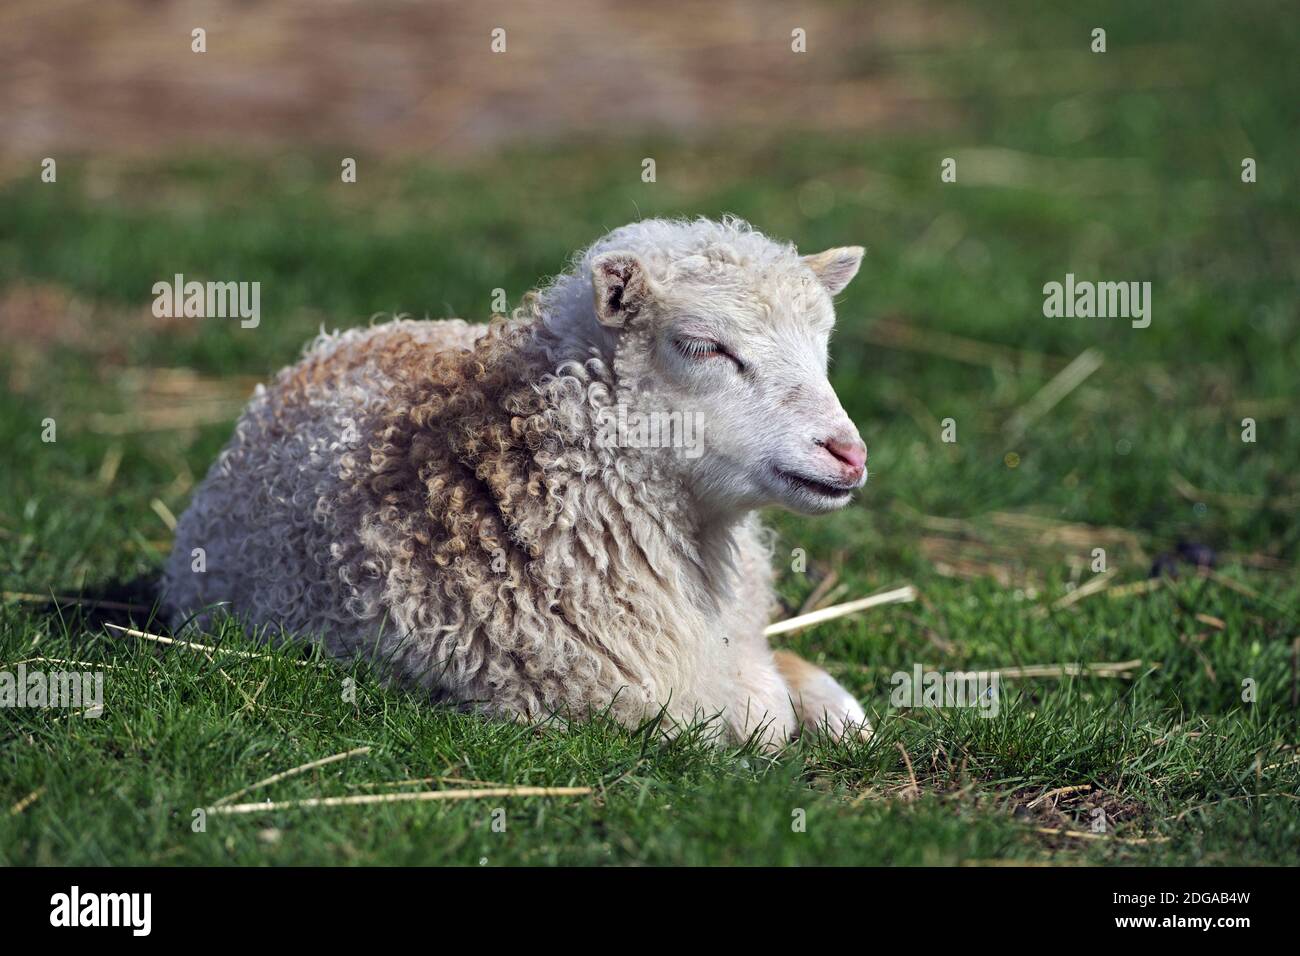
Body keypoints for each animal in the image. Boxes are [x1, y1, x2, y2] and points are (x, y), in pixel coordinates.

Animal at [162, 217, 873, 749]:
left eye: (823, 343)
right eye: (701, 346)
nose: (849, 454)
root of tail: (332, 347)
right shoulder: (623, 703)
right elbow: (756, 720)